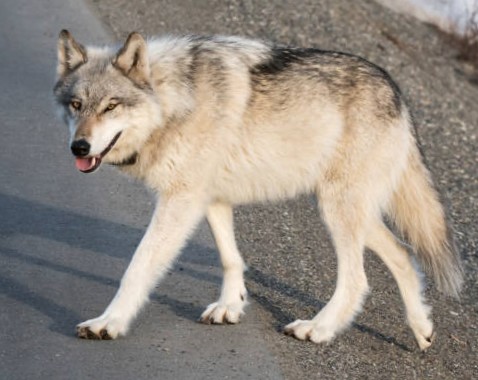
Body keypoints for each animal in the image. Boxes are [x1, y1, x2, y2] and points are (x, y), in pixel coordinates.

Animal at [53, 29, 464, 350]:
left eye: (110, 106)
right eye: (76, 105)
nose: (79, 147)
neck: (174, 99)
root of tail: (397, 92)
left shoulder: (180, 201)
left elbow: (137, 268)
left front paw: (108, 323)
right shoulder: (210, 198)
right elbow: (230, 258)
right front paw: (230, 305)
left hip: (336, 210)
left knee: (358, 280)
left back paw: (318, 328)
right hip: (352, 212)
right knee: (404, 255)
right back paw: (422, 329)